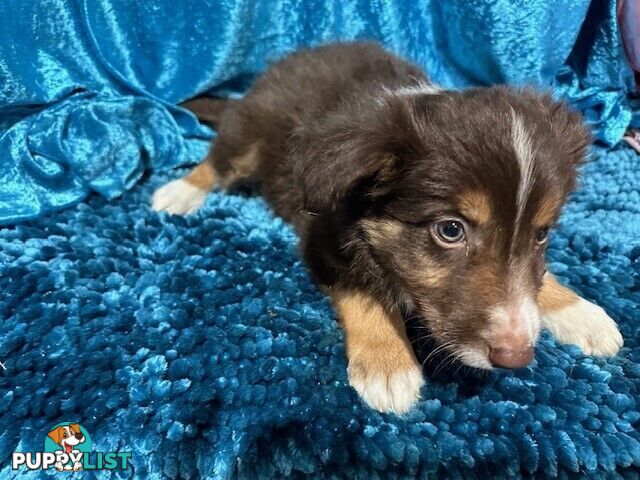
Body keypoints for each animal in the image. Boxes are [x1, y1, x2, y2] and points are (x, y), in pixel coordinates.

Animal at [152, 43, 624, 414]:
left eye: (541, 234)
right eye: (450, 230)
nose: (516, 356)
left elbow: (538, 275)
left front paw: (579, 311)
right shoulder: (321, 238)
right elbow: (364, 289)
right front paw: (388, 365)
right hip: (249, 135)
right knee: (217, 159)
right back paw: (178, 193)